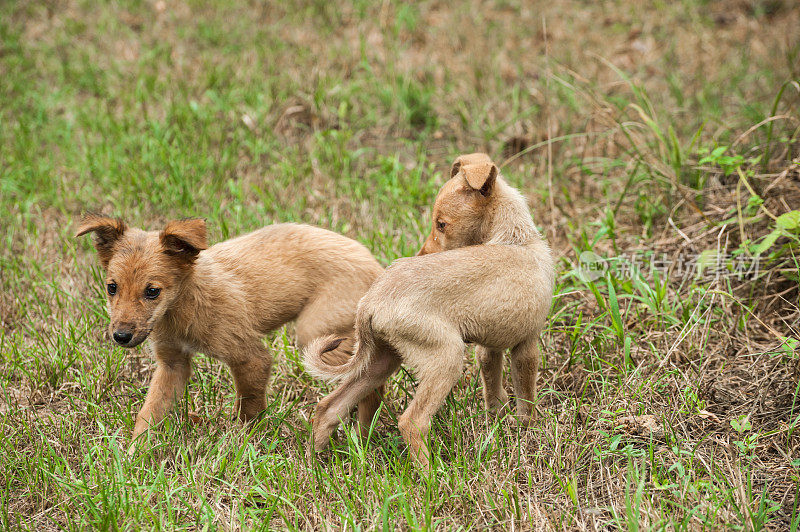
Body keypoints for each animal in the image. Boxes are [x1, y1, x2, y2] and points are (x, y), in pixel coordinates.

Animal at [76, 214, 382, 442]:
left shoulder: (251, 356)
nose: (121, 337)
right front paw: (136, 456)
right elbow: (150, 412)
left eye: (152, 292)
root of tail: (378, 268)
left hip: (316, 331)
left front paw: (247, 444)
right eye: (112, 288)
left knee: (369, 383)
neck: (183, 305)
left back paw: (363, 435)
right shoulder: (173, 364)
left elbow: (249, 407)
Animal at [306, 155, 556, 470]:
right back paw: (432, 475)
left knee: (328, 407)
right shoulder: (528, 344)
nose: (420, 255)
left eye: (441, 224)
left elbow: (492, 388)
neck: (515, 238)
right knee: (412, 421)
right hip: (445, 356)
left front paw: (498, 421)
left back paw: (316, 466)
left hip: (381, 360)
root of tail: (371, 301)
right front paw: (529, 429)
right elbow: (526, 395)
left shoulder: (490, 347)